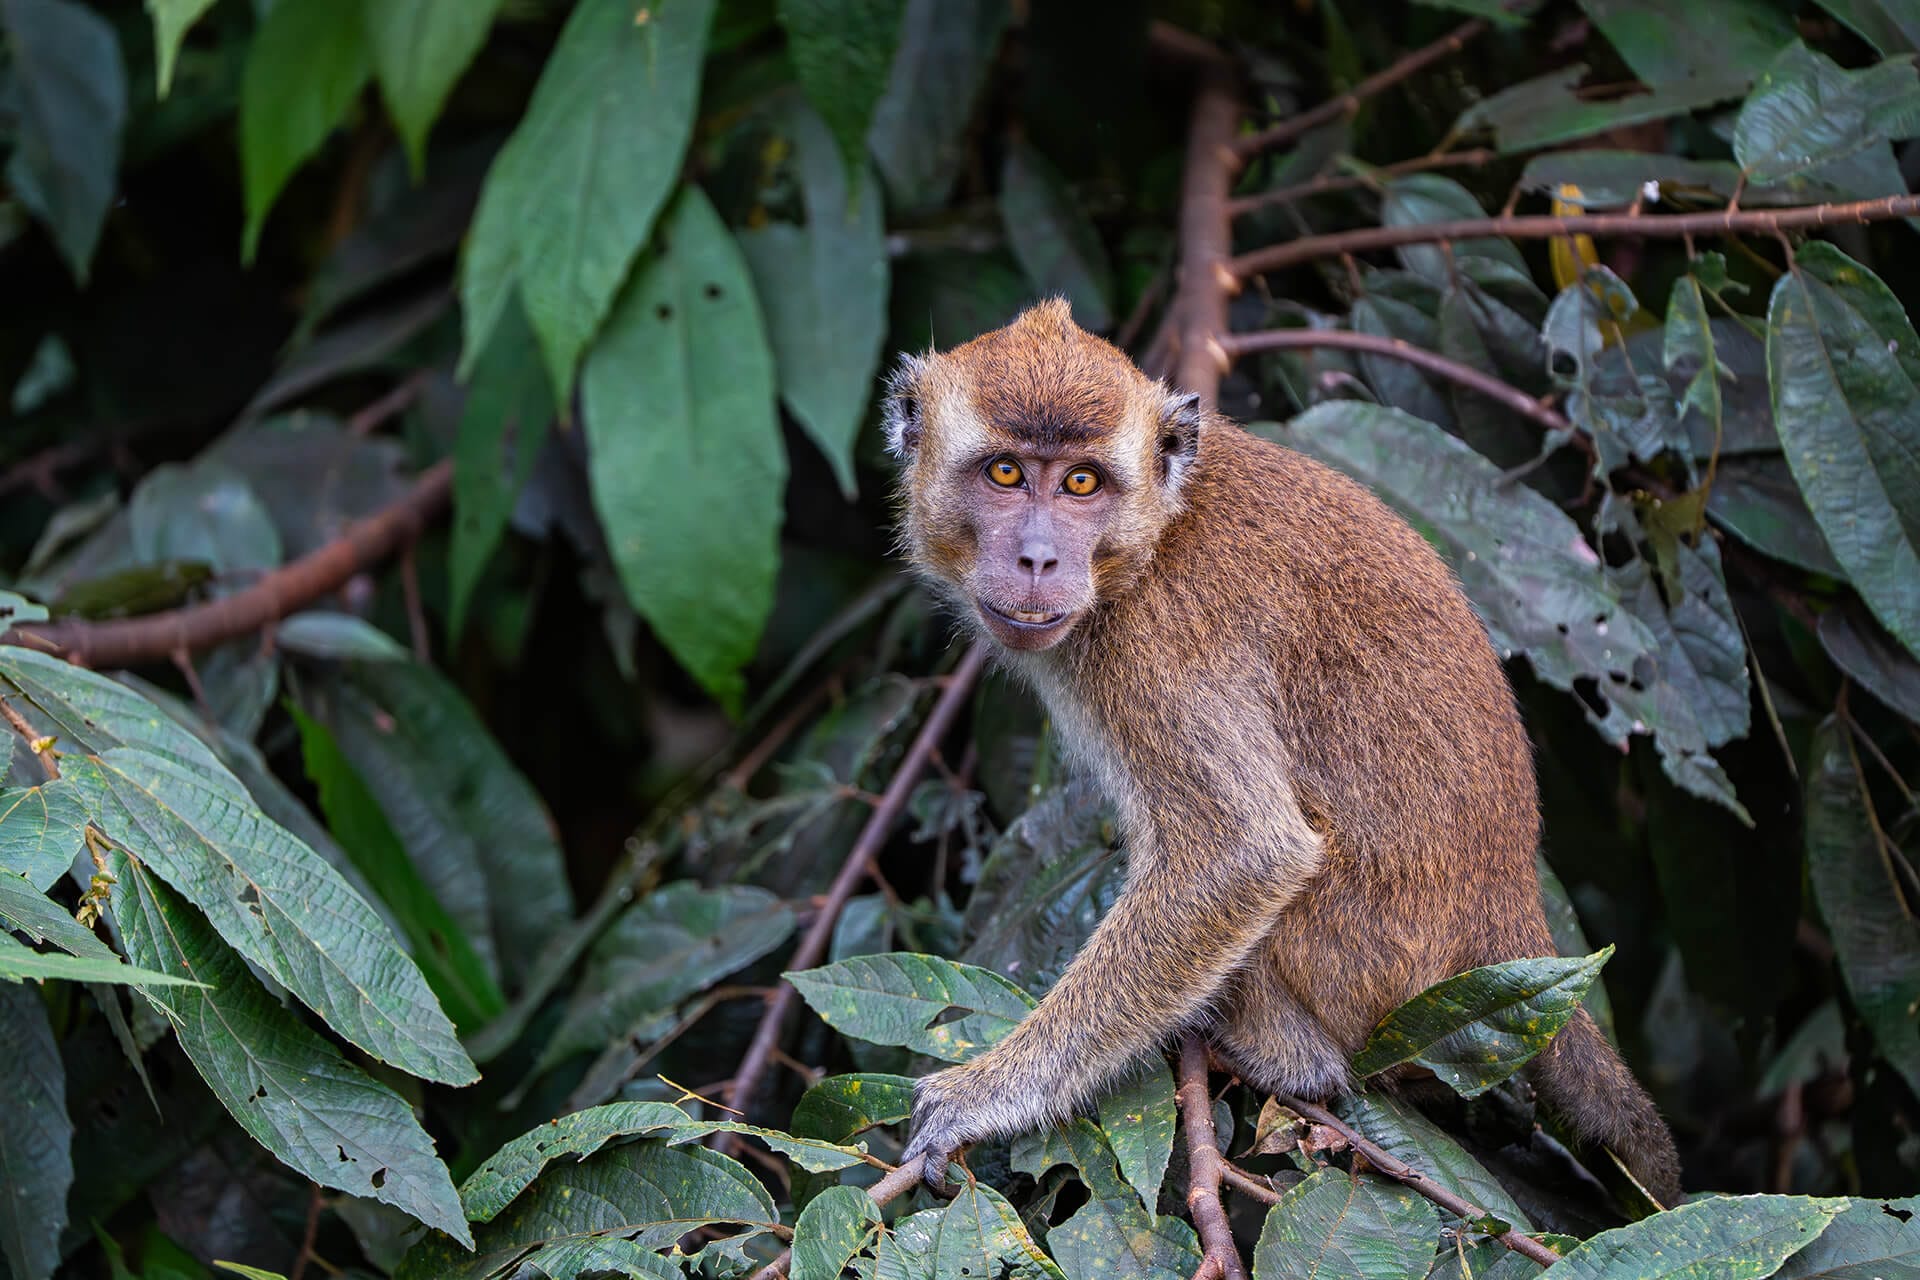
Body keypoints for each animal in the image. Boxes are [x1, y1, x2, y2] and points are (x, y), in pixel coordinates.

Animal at [881, 298, 1683, 1204]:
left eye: (1082, 483)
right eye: (1007, 473)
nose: (1039, 557)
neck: (1150, 541)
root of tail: (1513, 918)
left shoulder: (1158, 644)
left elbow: (1245, 851)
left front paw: (987, 1094)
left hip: (1363, 960)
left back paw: (1288, 1059)